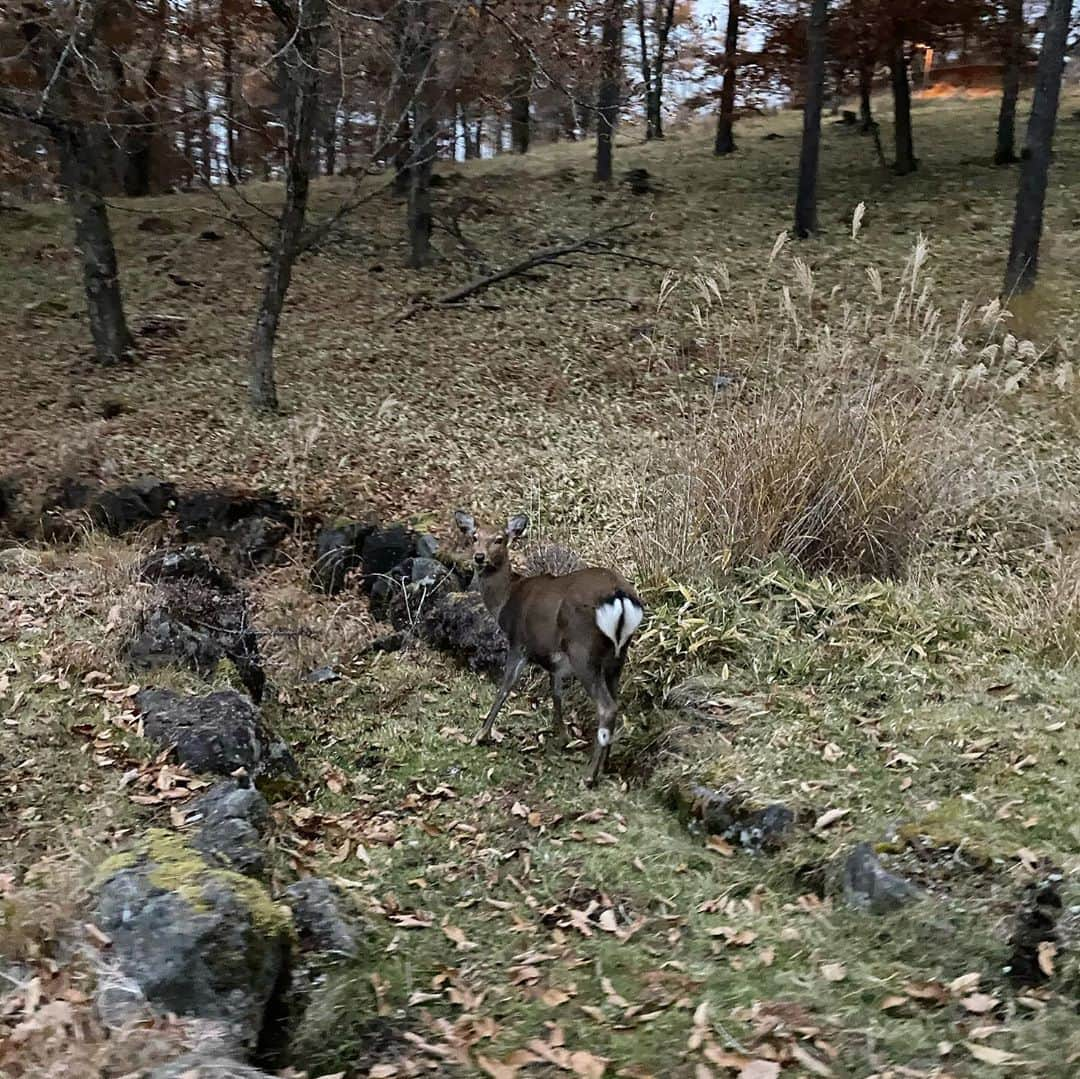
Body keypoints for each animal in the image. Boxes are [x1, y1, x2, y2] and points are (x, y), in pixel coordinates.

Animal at [453, 509, 643, 790]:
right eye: (474, 536)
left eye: (499, 539)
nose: (479, 557)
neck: (505, 600)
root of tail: (619, 596)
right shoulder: (555, 658)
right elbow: (556, 693)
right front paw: (561, 736)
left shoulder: (519, 642)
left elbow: (505, 687)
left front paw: (481, 734)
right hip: (618, 654)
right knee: (616, 702)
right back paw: (605, 765)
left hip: (583, 649)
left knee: (607, 707)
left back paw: (589, 776)